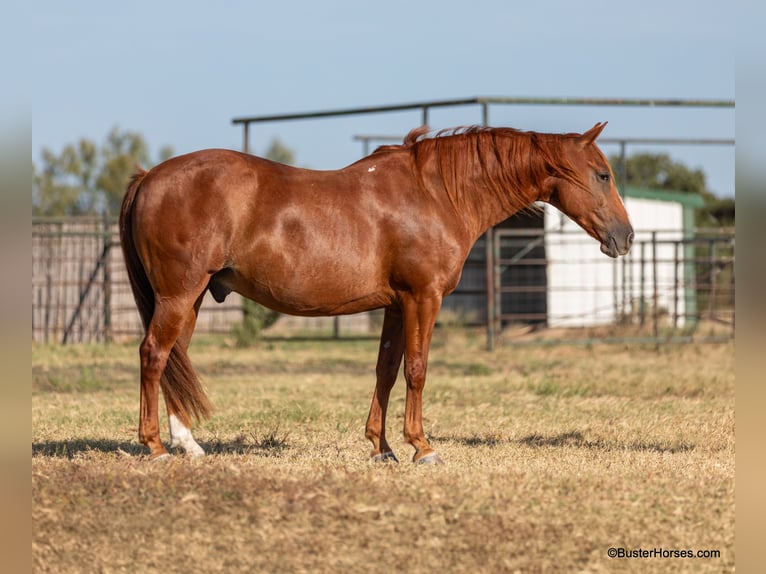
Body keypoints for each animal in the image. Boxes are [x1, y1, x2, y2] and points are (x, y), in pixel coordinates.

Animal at [120, 121, 636, 464]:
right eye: (602, 175)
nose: (626, 237)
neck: (436, 194)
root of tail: (149, 177)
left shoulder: (395, 305)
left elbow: (386, 371)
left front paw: (382, 446)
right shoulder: (423, 298)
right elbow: (417, 370)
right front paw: (422, 447)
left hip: (190, 298)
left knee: (175, 359)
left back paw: (189, 444)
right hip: (178, 296)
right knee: (153, 355)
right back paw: (155, 447)